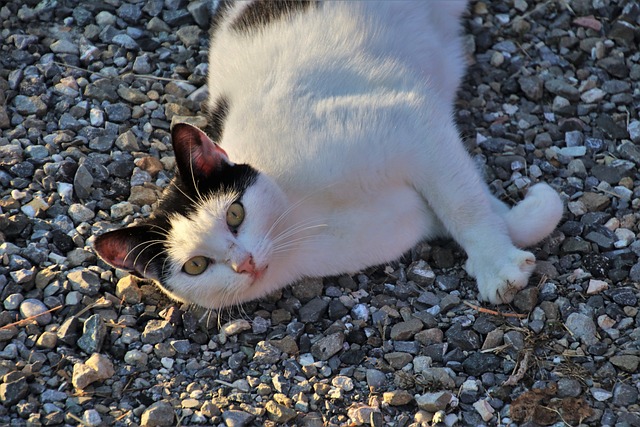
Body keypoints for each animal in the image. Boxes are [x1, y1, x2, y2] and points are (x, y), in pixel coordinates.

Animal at [92, 0, 564, 308]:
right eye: (196, 266)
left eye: (235, 214)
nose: (244, 264)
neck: (307, 223)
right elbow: (478, 206)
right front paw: (522, 220)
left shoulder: (412, 122)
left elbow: (465, 205)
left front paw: (497, 263)